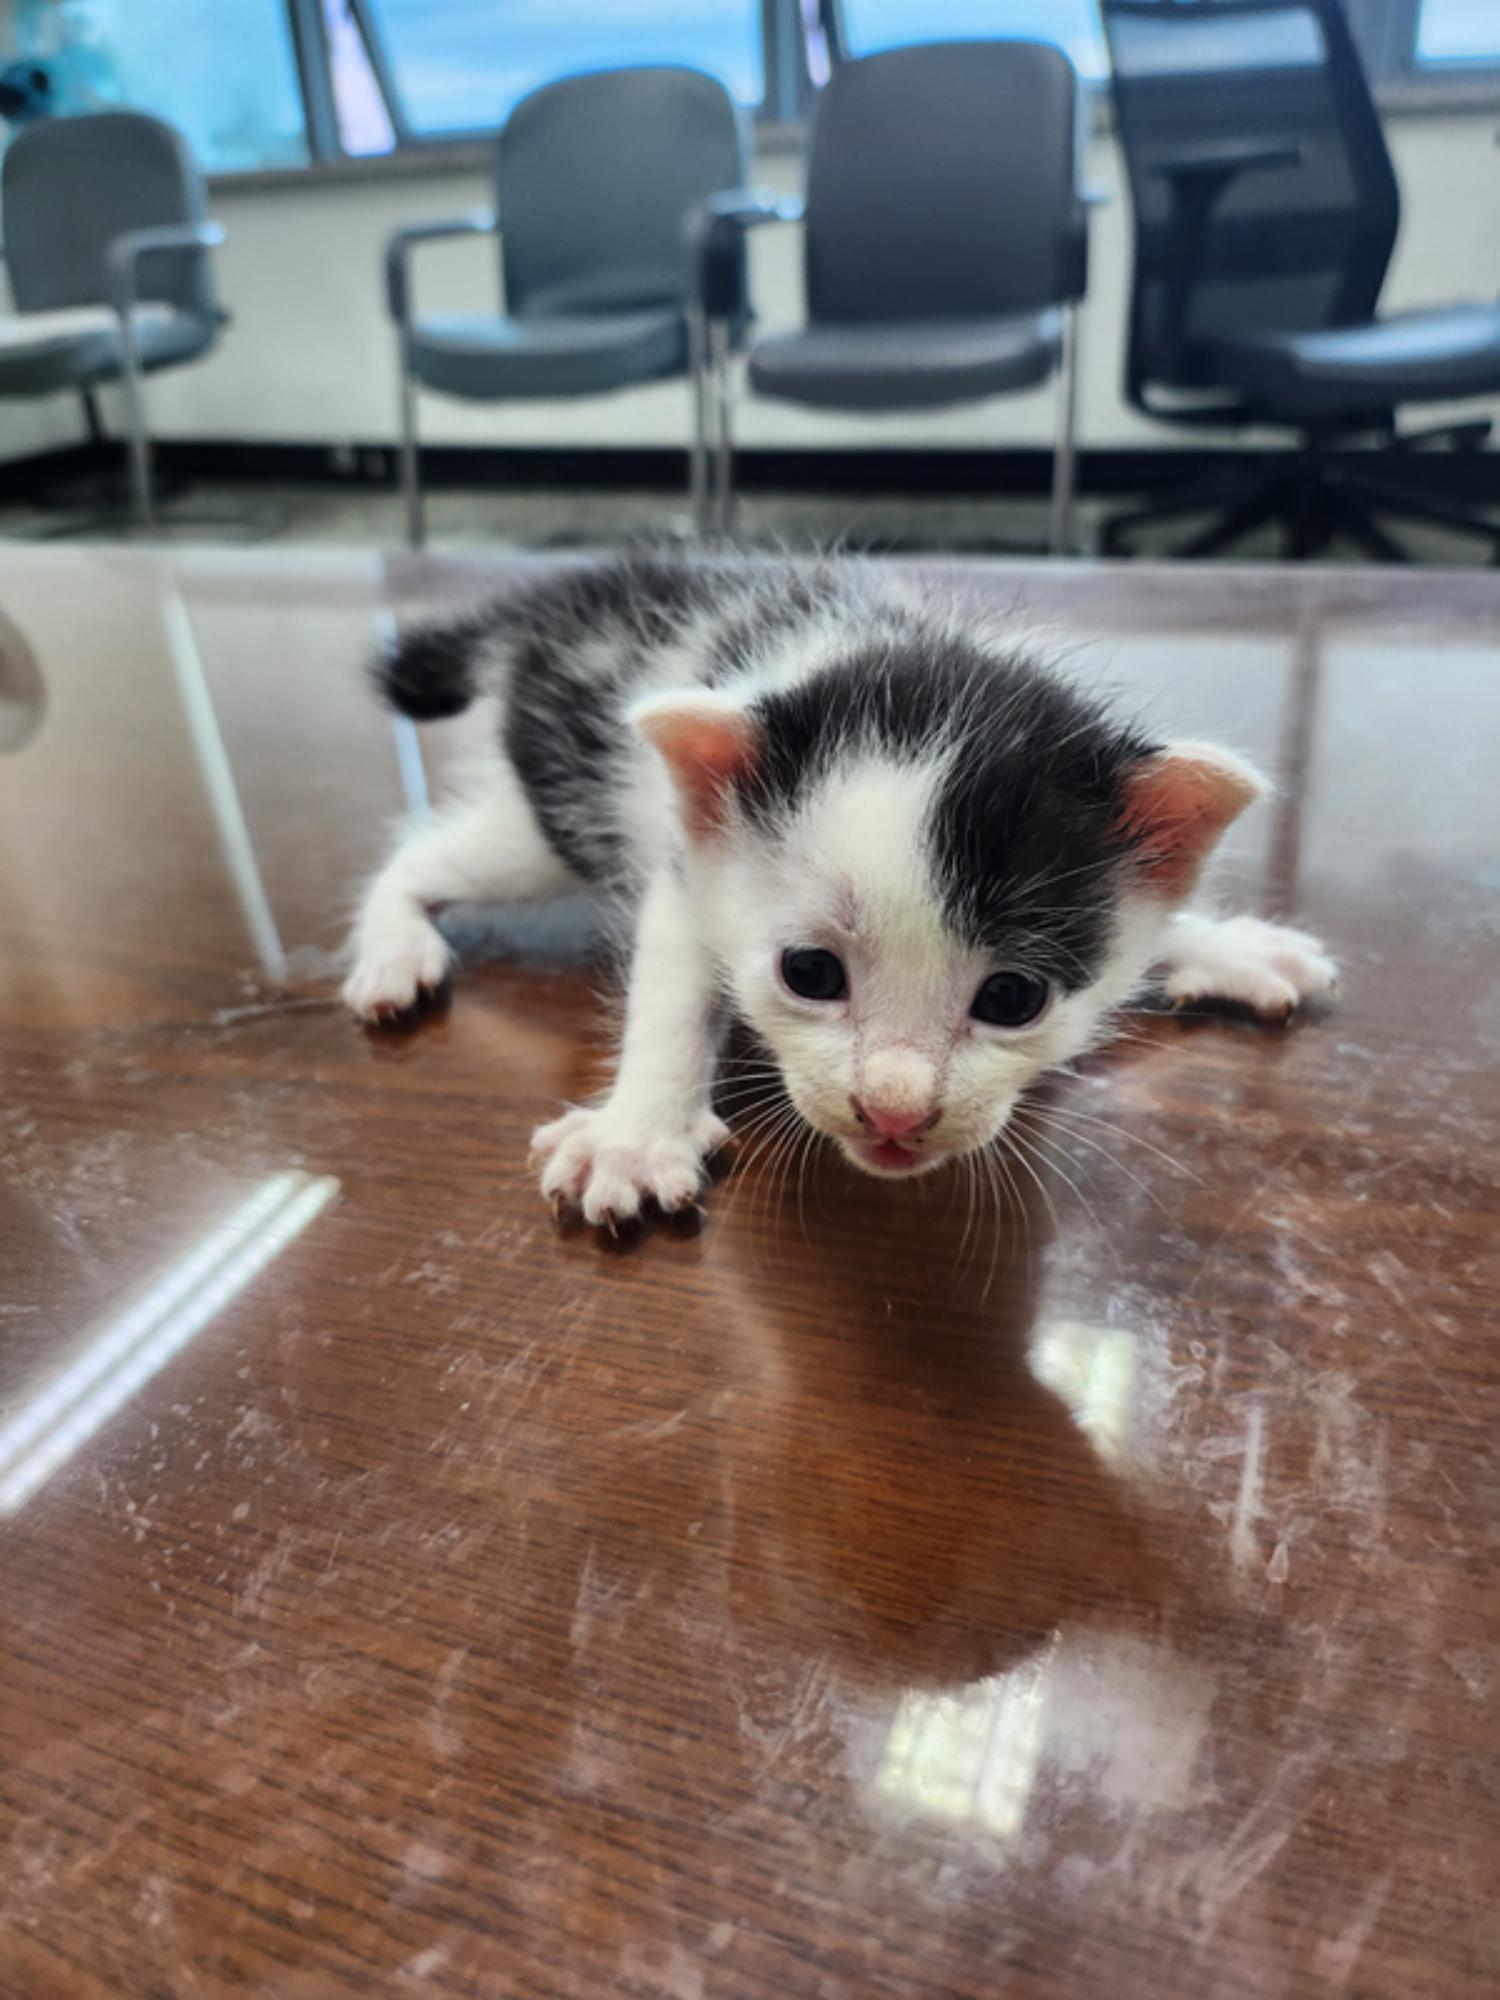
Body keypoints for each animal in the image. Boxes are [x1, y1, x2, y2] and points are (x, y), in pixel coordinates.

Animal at [344, 556, 1336, 1224]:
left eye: (1014, 998)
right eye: (811, 974)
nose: (895, 1112)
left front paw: (1223, 945)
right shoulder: (687, 864)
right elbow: (671, 991)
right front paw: (637, 1132)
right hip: (558, 808)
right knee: (425, 853)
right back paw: (394, 945)